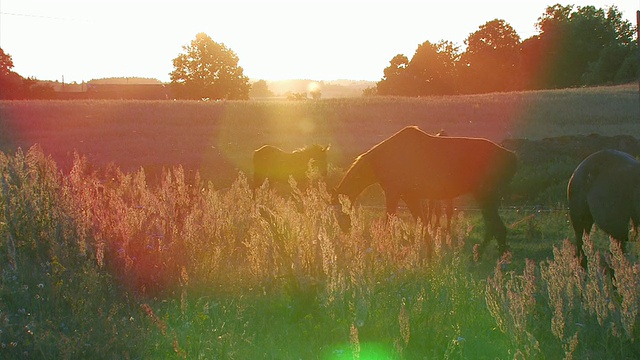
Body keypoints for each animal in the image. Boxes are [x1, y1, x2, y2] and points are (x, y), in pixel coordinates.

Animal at [332, 126, 516, 256]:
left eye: (338, 213)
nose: (345, 232)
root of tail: (512, 156)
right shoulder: (410, 196)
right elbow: (423, 224)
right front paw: (427, 253)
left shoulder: (393, 194)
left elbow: (390, 223)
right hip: (486, 199)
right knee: (494, 228)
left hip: (486, 197)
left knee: (497, 228)